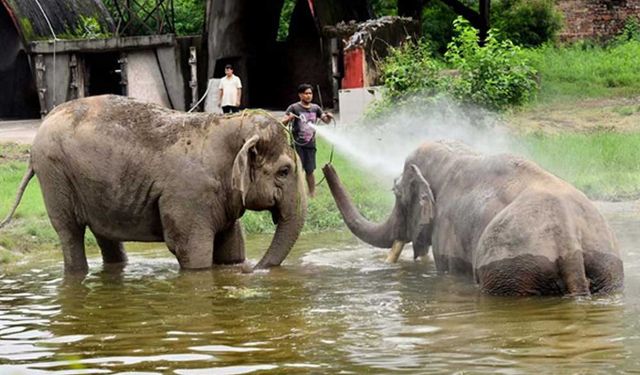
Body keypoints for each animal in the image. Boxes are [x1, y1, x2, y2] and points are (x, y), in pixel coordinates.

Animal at [1, 94, 308, 274]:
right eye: (284, 171)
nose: (253, 270)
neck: (230, 125)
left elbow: (231, 248)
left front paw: (234, 268)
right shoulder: (188, 196)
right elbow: (192, 252)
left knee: (105, 235)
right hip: (55, 176)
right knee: (70, 232)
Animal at [322, 141, 624, 296]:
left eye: (396, 192)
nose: (327, 165)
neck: (454, 153)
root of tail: (569, 243)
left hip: (510, 271)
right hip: (606, 267)